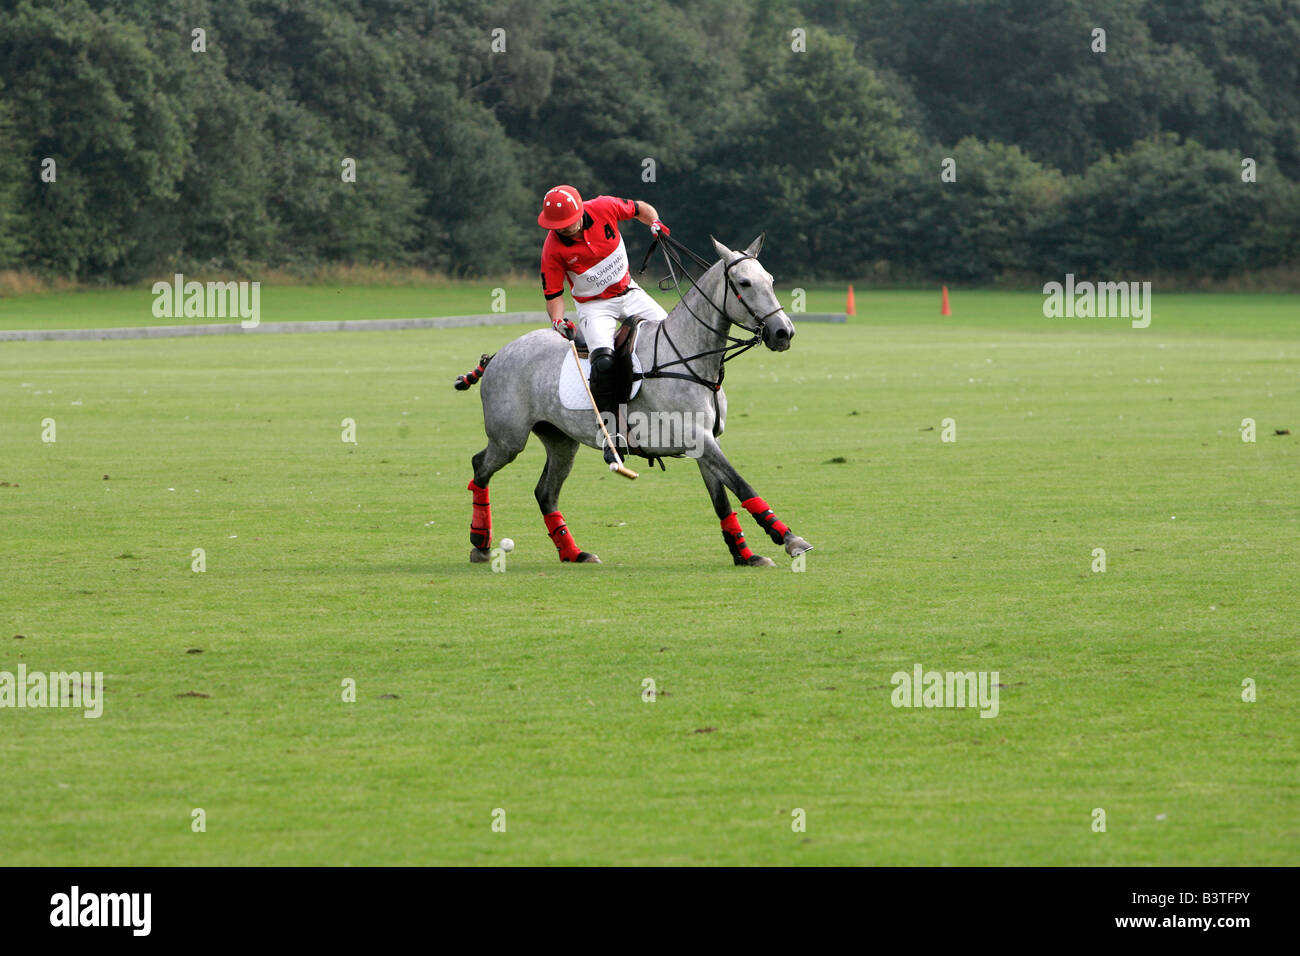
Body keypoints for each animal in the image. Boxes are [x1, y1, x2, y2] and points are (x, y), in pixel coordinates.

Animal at [453, 234, 814, 566]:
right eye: (744, 283)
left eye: (770, 280)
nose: (783, 332)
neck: (689, 357)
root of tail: (498, 354)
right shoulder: (696, 436)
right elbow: (742, 485)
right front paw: (790, 539)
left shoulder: (705, 442)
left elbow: (722, 499)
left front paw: (745, 554)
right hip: (509, 438)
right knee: (480, 467)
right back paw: (480, 543)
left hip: (561, 441)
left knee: (545, 491)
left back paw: (574, 552)